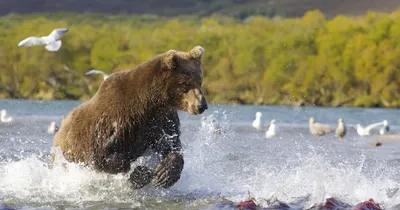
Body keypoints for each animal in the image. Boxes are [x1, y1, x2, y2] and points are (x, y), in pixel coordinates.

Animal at [52, 45, 208, 189]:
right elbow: (103, 157)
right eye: (186, 83)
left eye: (199, 80)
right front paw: (141, 173)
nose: (202, 106)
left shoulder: (161, 120)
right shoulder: (114, 122)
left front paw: (164, 174)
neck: (149, 102)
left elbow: (171, 144)